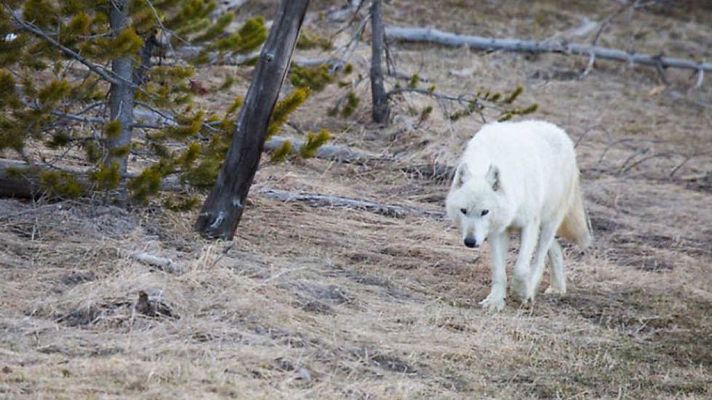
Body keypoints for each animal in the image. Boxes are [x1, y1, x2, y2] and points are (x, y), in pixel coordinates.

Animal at [444, 119, 588, 312]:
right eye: (464, 211)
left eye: (484, 212)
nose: (470, 242)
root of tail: (559, 131)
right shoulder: (497, 231)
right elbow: (499, 271)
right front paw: (495, 301)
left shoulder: (528, 225)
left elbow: (520, 268)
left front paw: (520, 293)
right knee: (556, 248)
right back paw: (558, 288)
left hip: (548, 222)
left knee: (540, 258)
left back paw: (531, 291)